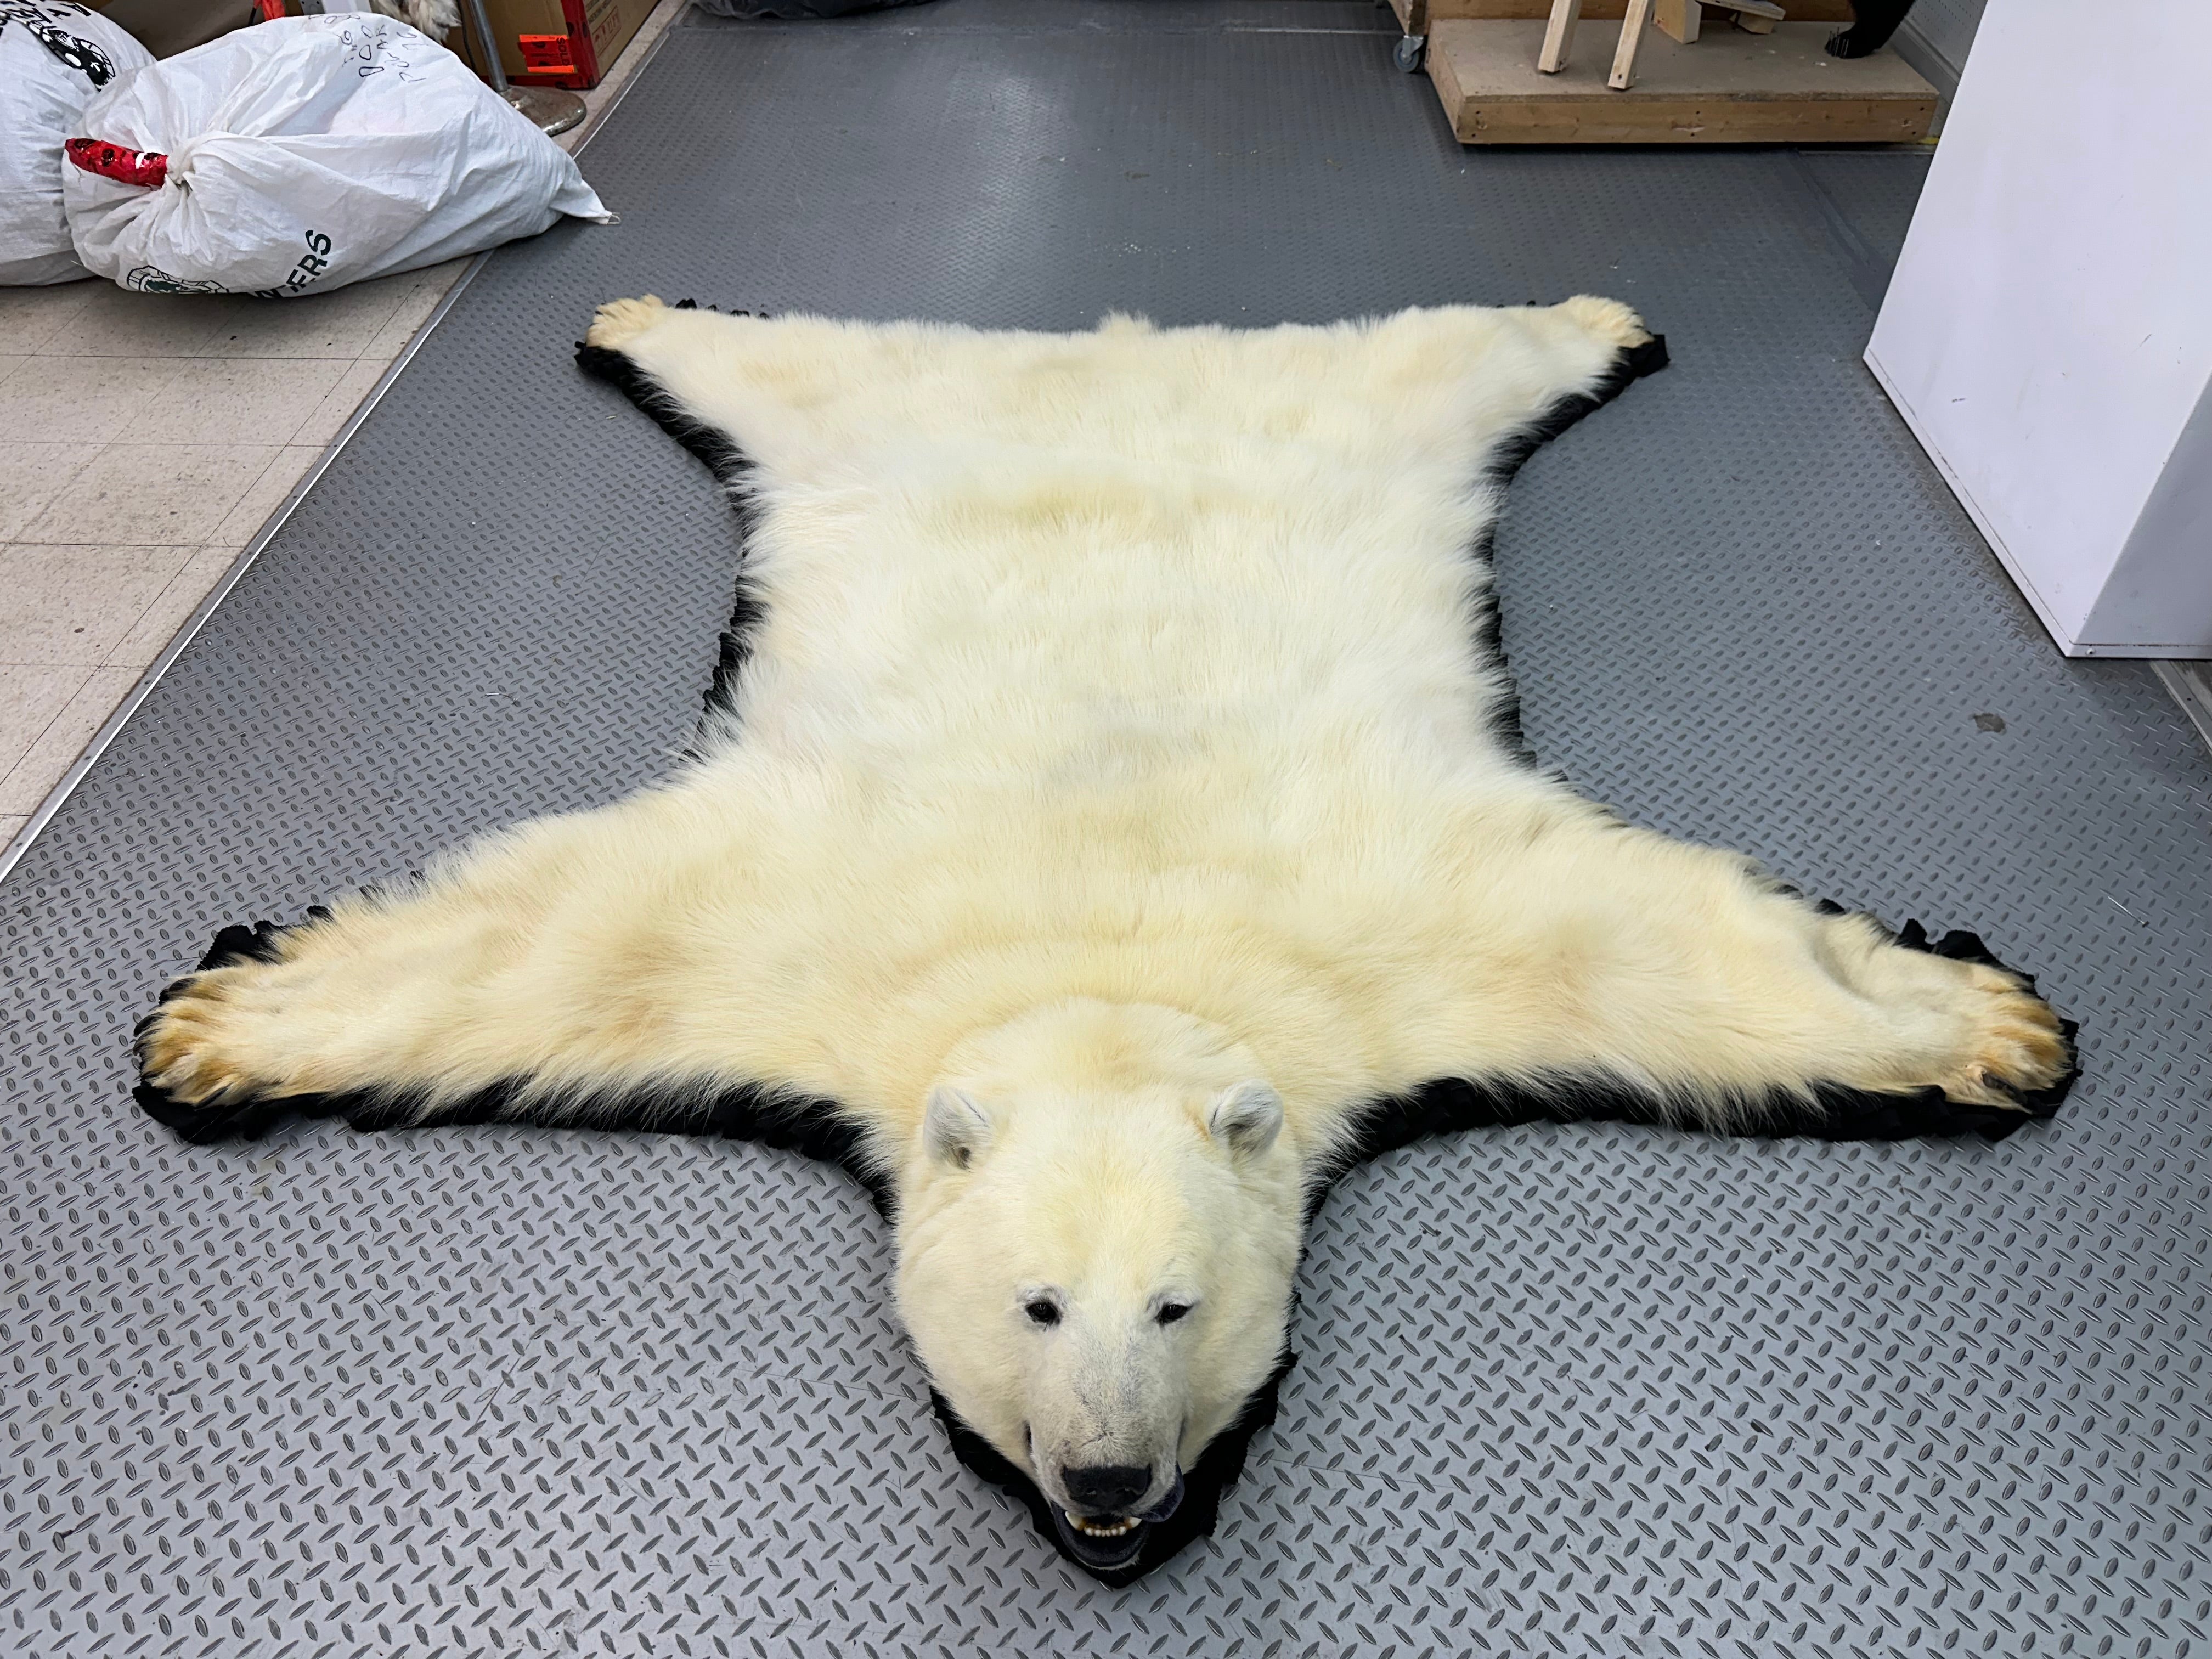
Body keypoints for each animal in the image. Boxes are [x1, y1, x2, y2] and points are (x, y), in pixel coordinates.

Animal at [135, 295, 2074, 1579]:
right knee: (792, 357)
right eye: (1036, 1306)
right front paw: (207, 1028)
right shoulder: (778, 922)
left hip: (1363, 428)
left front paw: (1991, 1023)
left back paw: (1599, 317)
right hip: (871, 418)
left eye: (1180, 1307)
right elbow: (540, 950)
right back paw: (644, 309)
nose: (1113, 1494)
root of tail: (1114, 352)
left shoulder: (1418, 923)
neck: (1103, 965)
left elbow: (1679, 960)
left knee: (1451, 351)